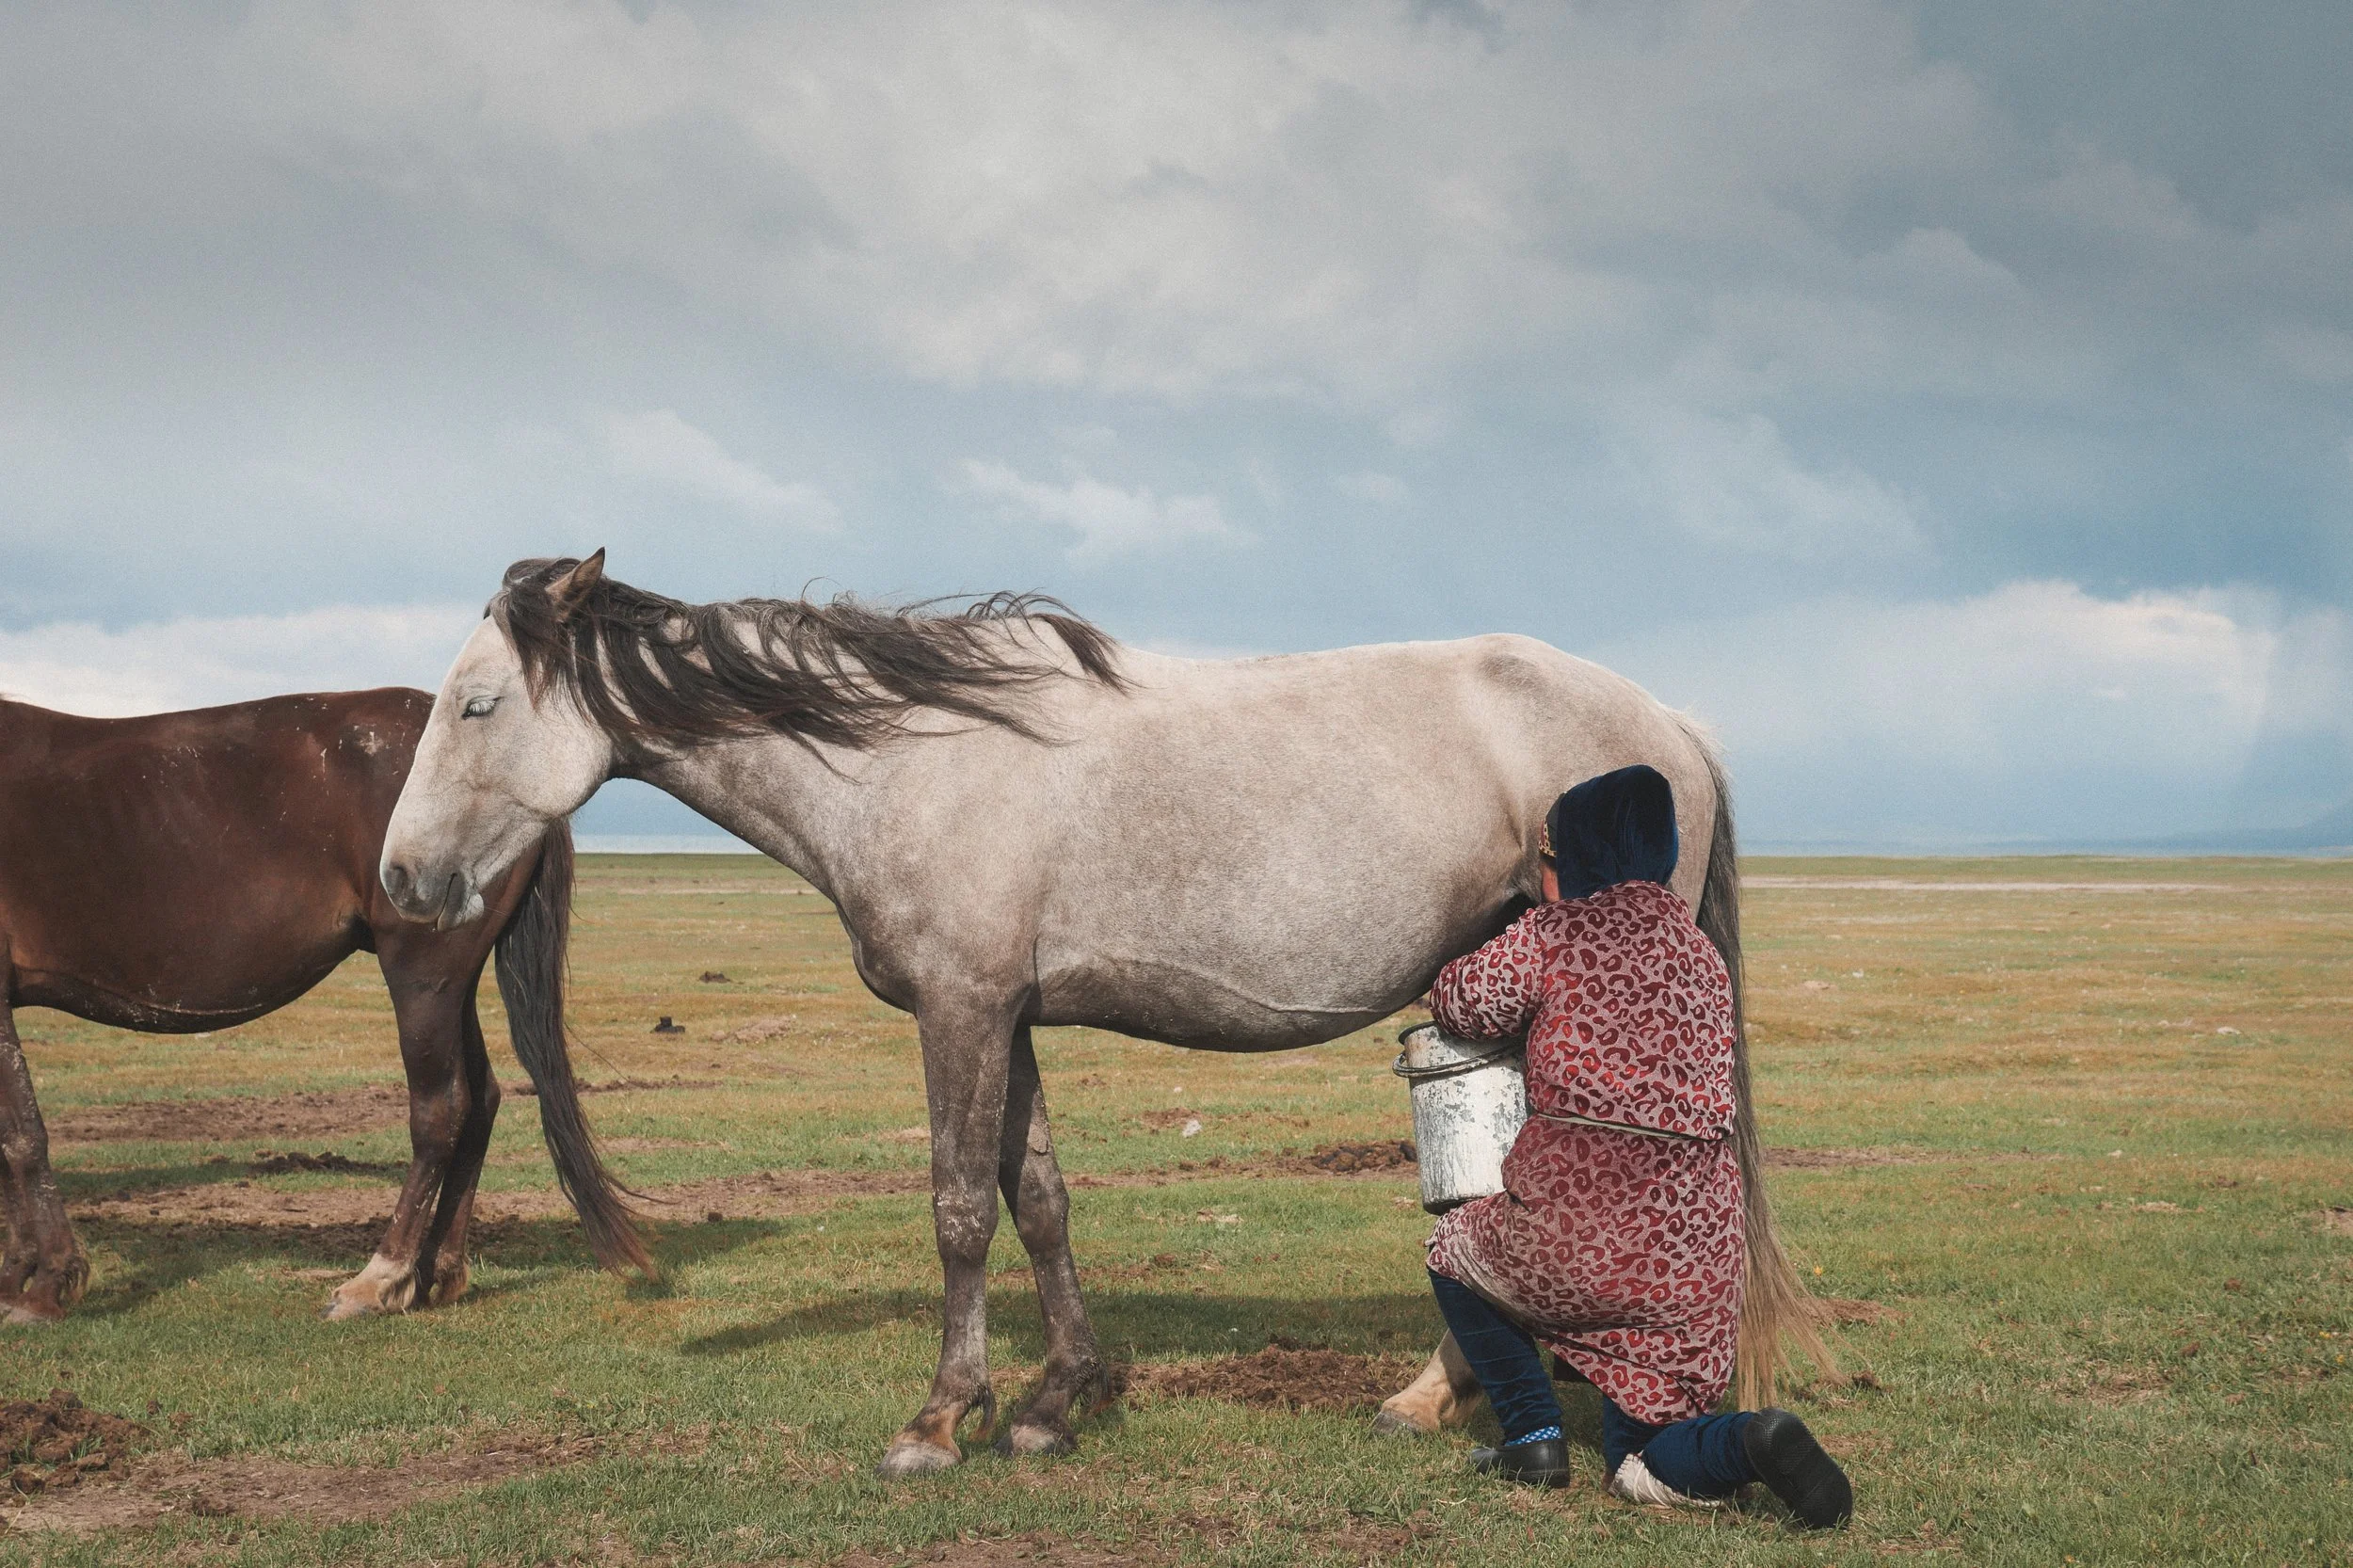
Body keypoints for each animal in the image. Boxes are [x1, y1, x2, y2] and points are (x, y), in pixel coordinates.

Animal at [0, 688, 643, 1324]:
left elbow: (23, 1140)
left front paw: (47, 1284)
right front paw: (16, 1276)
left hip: (421, 975)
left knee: (441, 1110)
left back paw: (379, 1278)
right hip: (451, 985)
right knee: (481, 1098)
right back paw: (436, 1272)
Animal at [379, 552, 1827, 1478]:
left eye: (477, 703)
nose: (402, 879)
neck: (901, 757)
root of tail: (1667, 719)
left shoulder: (961, 1010)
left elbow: (961, 1207)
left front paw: (941, 1419)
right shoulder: (1004, 1013)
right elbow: (1039, 1199)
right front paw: (1053, 1402)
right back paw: (1434, 1396)